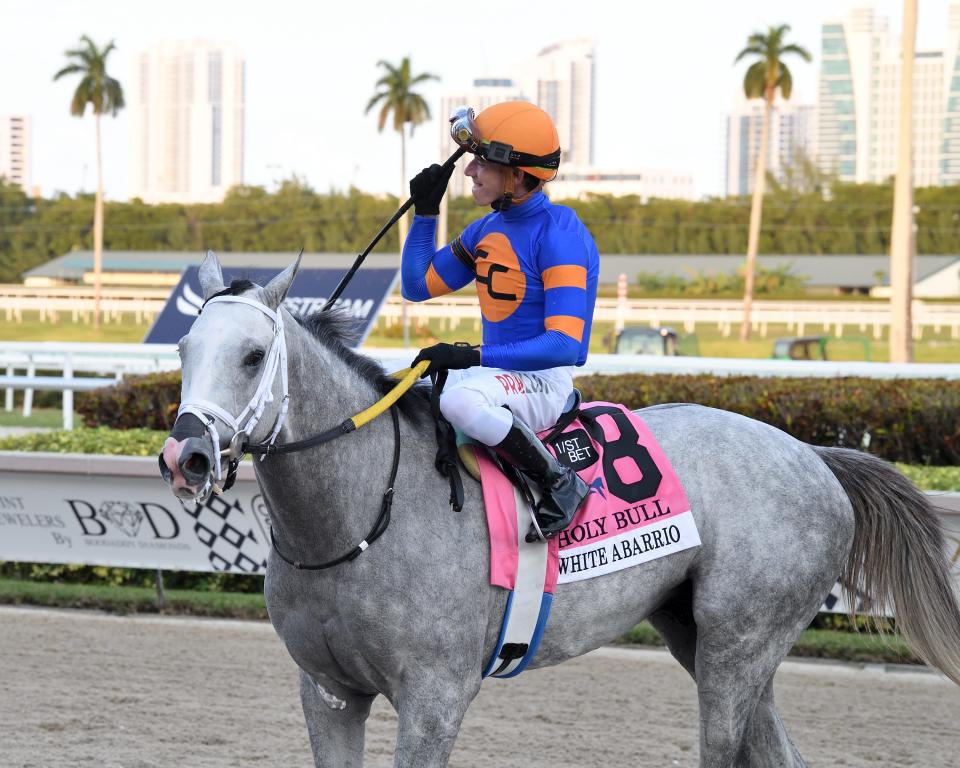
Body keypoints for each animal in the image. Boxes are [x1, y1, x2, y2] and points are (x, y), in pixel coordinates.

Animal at [161, 252, 956, 768]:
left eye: (253, 355)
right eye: (184, 346)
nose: (186, 455)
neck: (357, 519)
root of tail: (813, 456)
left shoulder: (434, 697)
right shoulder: (328, 693)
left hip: (741, 642)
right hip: (704, 636)